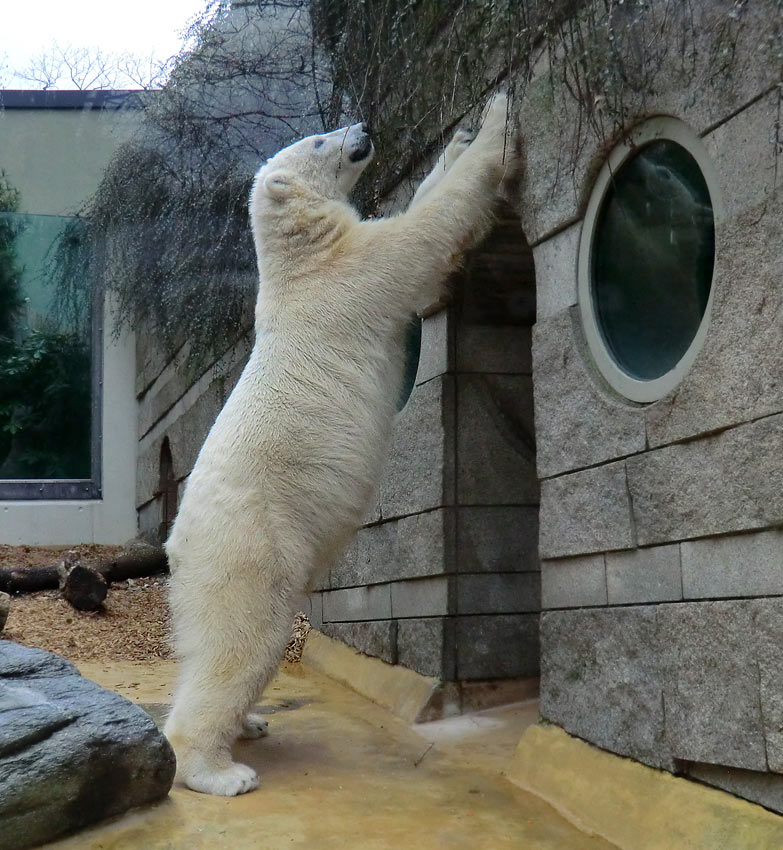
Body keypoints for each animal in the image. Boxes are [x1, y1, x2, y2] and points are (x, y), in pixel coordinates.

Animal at [162, 94, 516, 796]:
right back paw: (220, 769)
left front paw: (458, 136)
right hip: (249, 547)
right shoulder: (351, 276)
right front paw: (494, 119)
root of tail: (175, 543)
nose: (363, 127)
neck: (298, 264)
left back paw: (251, 724)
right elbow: (423, 235)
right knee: (245, 639)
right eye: (321, 140)